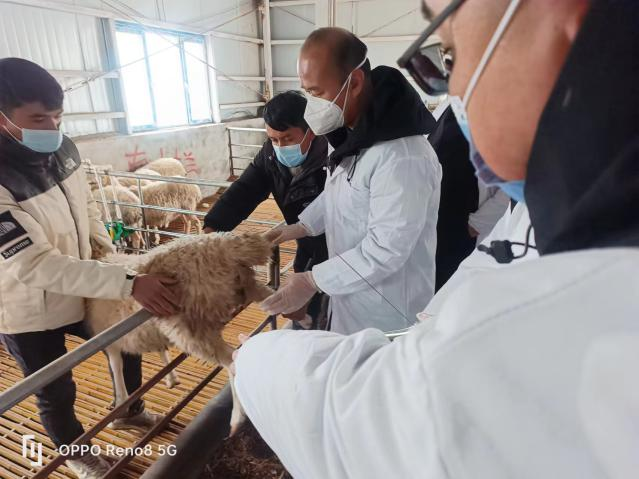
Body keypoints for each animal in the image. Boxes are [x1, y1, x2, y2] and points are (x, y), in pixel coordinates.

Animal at [86, 232, 274, 434]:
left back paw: (237, 418)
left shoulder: (108, 340)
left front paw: (119, 410)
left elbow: (116, 367)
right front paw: (171, 378)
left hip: (189, 328)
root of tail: (221, 246)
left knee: (231, 361)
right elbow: (160, 350)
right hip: (248, 288)